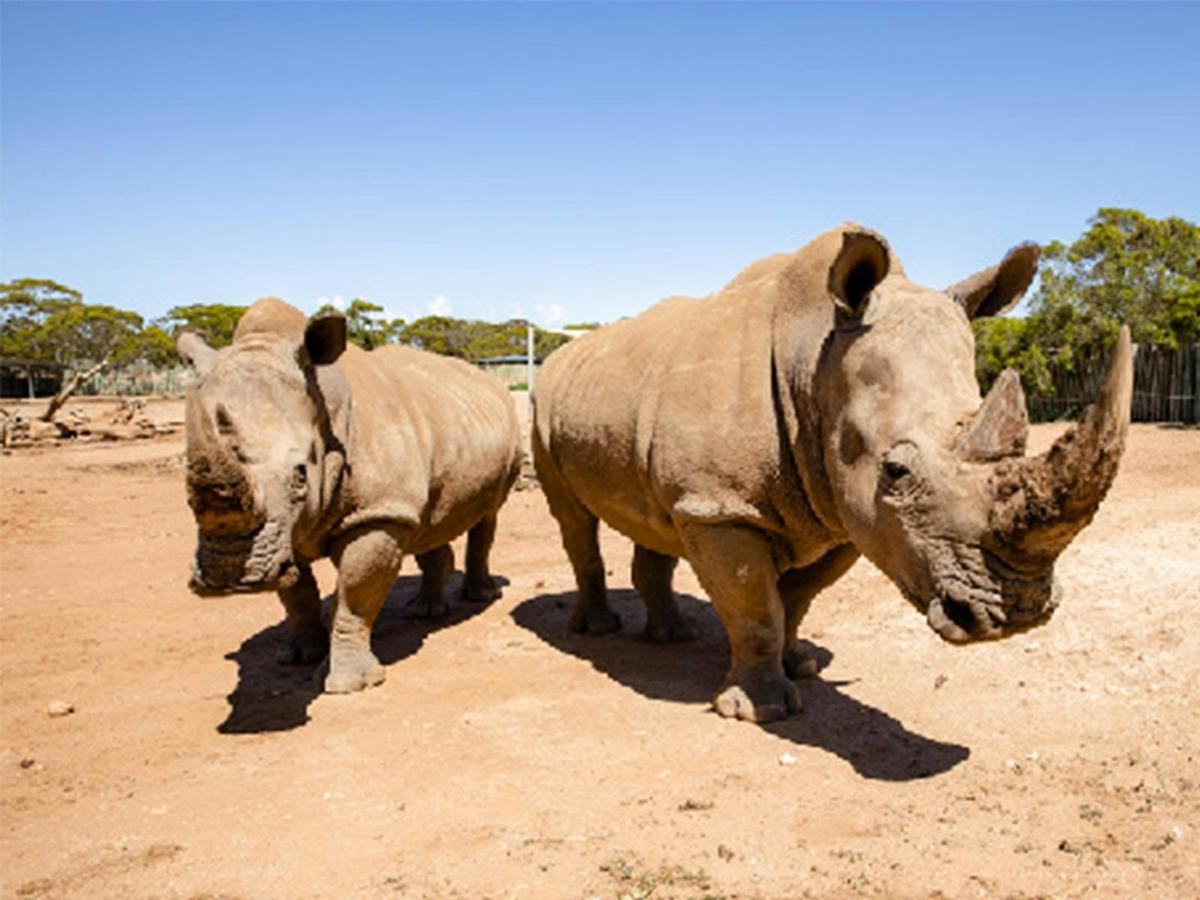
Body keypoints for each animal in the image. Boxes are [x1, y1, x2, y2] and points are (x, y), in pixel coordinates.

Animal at [179, 298, 521, 693]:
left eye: (300, 476)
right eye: (186, 476)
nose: (230, 579)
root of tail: (488, 380)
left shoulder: (375, 515)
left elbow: (354, 595)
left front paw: (347, 684)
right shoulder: (289, 532)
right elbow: (298, 595)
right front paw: (298, 655)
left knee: (488, 515)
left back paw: (482, 596)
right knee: (427, 519)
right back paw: (425, 612)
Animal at [532, 224, 1132, 723]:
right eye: (896, 470)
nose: (1018, 613)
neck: (813, 363)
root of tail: (564, 355)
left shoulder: (840, 509)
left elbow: (796, 599)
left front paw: (799, 665)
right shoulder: (723, 506)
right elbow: (754, 604)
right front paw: (760, 712)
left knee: (656, 517)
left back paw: (671, 637)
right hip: (545, 402)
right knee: (572, 519)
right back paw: (597, 630)